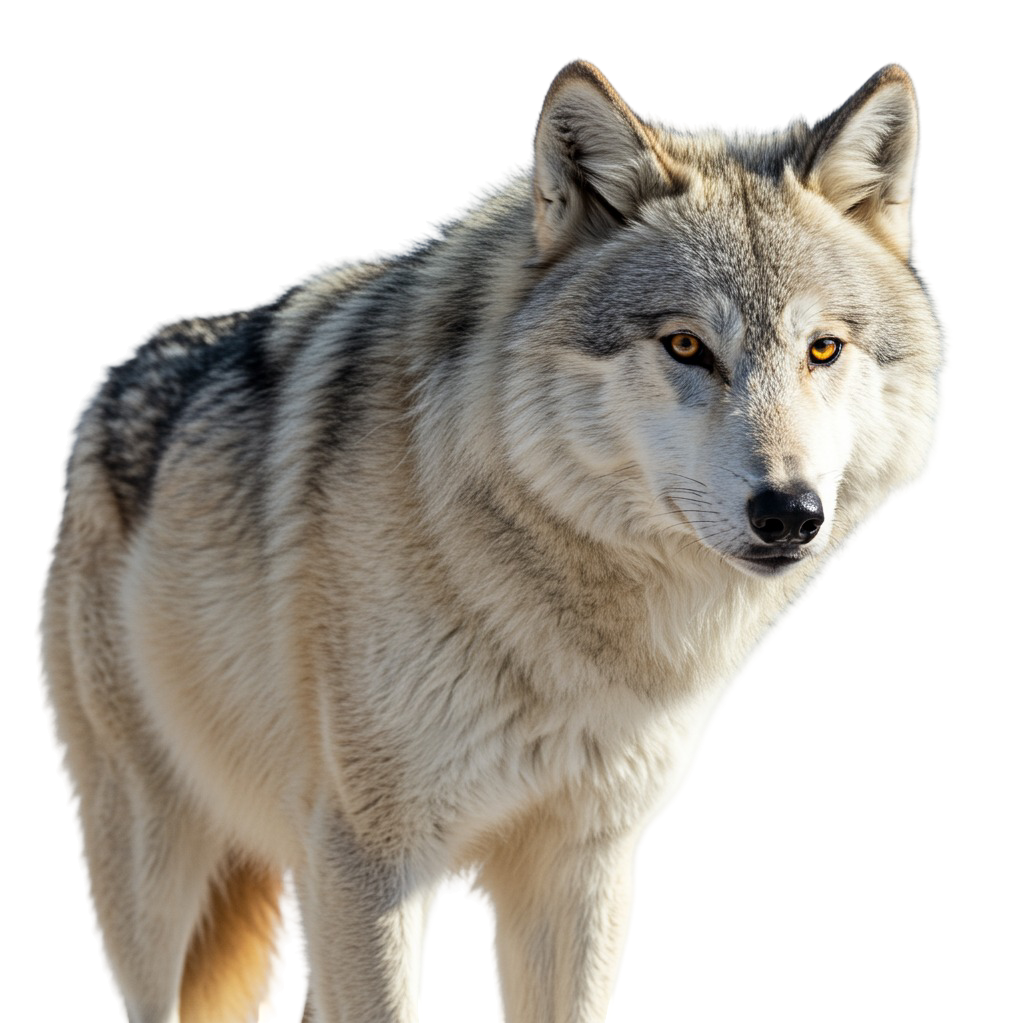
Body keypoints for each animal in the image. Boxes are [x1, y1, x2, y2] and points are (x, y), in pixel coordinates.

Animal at [37, 57, 949, 1022]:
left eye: (824, 350)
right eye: (686, 345)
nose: (789, 513)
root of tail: (116, 372)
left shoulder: (581, 871)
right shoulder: (371, 862)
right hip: (159, 889)